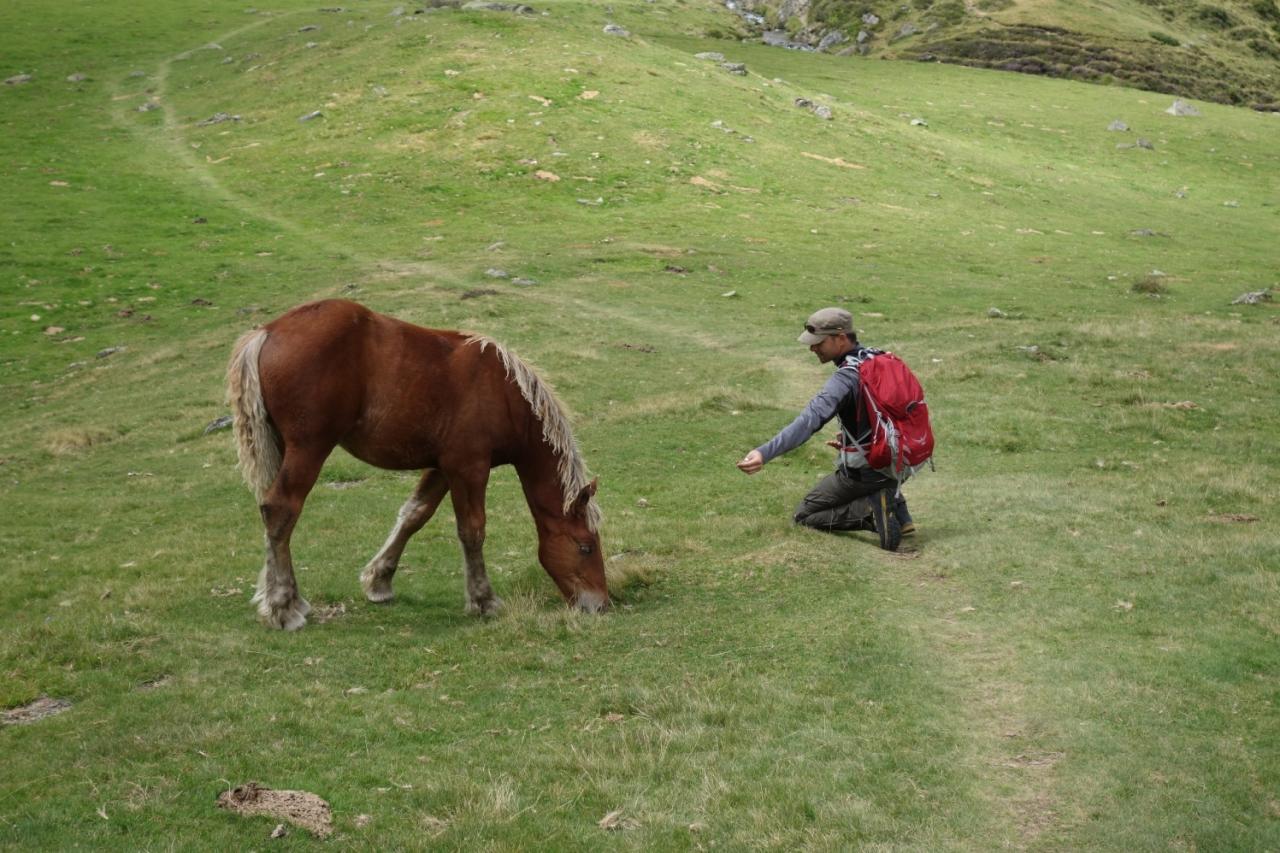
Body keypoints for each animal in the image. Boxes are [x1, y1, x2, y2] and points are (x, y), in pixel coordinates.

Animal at [224, 297, 604, 625]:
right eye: (585, 547)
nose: (600, 604)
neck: (505, 393)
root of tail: (268, 332)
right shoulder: (469, 468)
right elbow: (473, 530)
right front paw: (483, 600)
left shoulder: (442, 467)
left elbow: (414, 515)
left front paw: (378, 581)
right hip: (309, 448)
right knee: (281, 508)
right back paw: (283, 607)